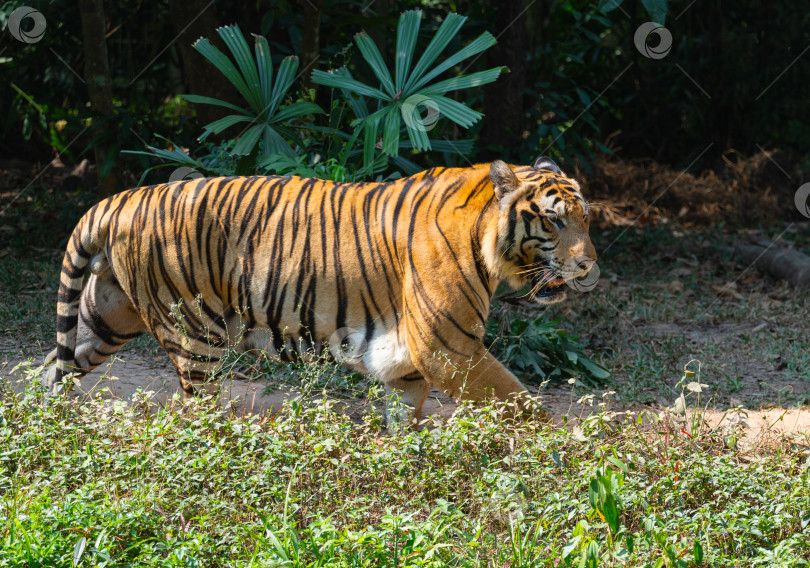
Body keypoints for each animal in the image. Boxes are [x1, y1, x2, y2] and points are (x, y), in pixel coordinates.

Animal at [45, 158, 592, 424]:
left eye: (586, 218)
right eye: (554, 220)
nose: (589, 266)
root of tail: (120, 200)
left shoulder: (410, 363)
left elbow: (406, 419)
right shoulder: (449, 348)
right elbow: (523, 404)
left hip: (105, 318)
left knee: (51, 368)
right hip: (193, 334)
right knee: (195, 414)